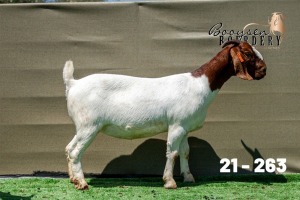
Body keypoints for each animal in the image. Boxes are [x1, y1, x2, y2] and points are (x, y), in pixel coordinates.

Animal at [63, 40, 268, 189]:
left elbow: (186, 152)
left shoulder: (186, 127)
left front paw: (189, 177)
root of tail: (73, 83)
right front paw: (170, 182)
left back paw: (73, 179)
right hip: (89, 125)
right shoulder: (177, 125)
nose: (264, 70)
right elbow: (173, 152)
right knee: (75, 151)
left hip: (82, 126)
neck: (200, 84)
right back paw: (82, 183)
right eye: (248, 53)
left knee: (68, 148)